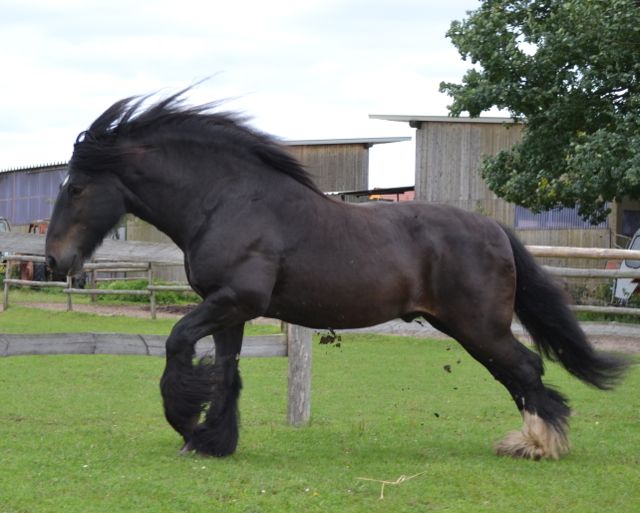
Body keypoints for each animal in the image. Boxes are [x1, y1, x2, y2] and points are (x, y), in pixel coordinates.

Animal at [45, 89, 628, 460]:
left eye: (76, 187)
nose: (54, 262)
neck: (230, 202)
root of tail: (495, 230)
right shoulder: (230, 309)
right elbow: (227, 372)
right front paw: (213, 442)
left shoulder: (233, 300)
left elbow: (175, 342)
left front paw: (185, 421)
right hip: (468, 327)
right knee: (519, 374)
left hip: (478, 326)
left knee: (526, 369)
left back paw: (536, 446)